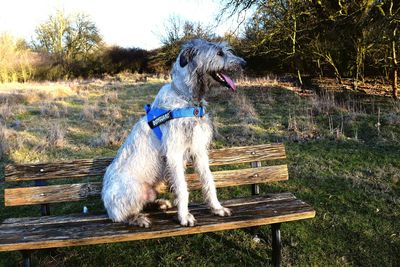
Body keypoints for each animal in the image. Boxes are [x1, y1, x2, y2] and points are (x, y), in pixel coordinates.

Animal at [102, 39, 247, 228]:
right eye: (219, 53)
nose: (244, 63)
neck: (187, 99)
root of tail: (106, 204)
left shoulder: (199, 151)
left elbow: (208, 180)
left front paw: (217, 208)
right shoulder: (174, 154)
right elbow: (182, 188)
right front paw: (184, 216)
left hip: (150, 190)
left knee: (145, 202)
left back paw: (159, 203)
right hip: (131, 190)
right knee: (121, 216)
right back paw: (137, 218)